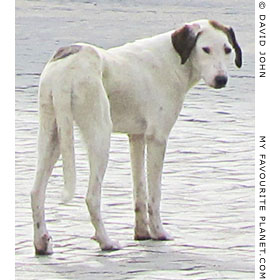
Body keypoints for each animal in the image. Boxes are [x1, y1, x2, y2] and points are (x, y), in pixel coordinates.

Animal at [30, 18, 242, 253]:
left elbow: (140, 191)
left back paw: (41, 242)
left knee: (36, 192)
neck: (175, 59)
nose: (221, 79)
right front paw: (158, 233)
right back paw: (106, 241)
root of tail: (66, 69)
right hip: (100, 137)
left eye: (227, 50)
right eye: (205, 49)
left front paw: (142, 233)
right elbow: (154, 195)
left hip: (52, 136)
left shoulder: (137, 138)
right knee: (92, 197)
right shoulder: (157, 138)